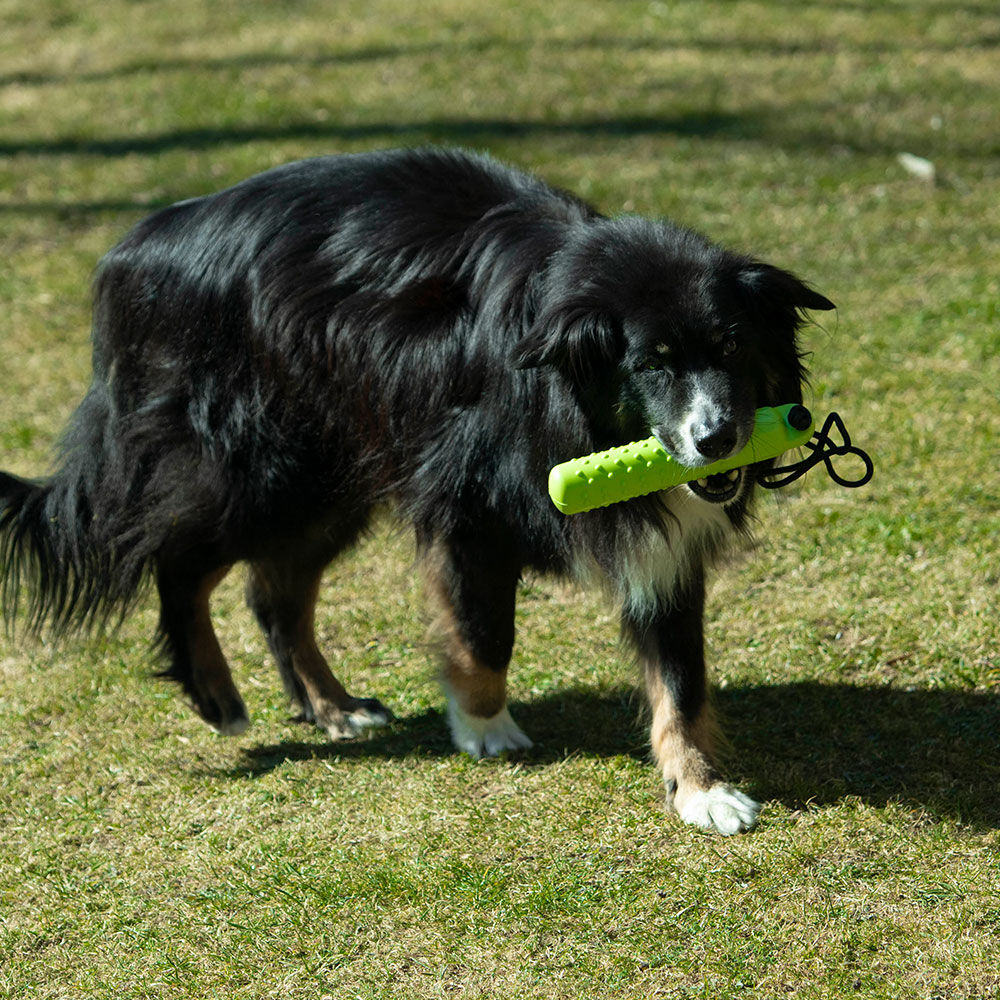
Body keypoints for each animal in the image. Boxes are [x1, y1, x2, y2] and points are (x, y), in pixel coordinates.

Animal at [1, 146, 828, 836]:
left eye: (733, 347)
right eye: (652, 363)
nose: (717, 439)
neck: (566, 396)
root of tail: (137, 247)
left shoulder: (666, 543)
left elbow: (681, 680)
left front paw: (701, 790)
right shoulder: (466, 503)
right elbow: (485, 633)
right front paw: (483, 726)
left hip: (330, 473)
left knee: (275, 593)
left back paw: (331, 706)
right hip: (260, 464)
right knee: (179, 560)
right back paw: (216, 696)